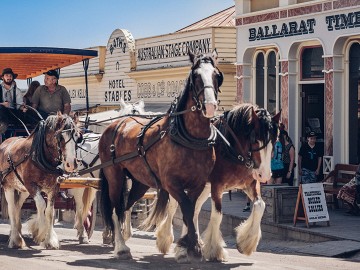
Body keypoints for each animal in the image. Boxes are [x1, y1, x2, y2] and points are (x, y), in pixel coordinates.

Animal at [0, 112, 81, 249]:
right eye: (60, 136)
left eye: (77, 135)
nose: (71, 164)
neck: (40, 156)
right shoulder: (31, 185)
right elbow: (42, 205)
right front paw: (41, 233)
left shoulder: (53, 187)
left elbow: (49, 211)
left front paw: (50, 240)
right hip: (8, 186)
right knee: (11, 208)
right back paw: (15, 239)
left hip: (23, 189)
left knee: (17, 207)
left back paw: (17, 233)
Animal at [98, 49, 222, 262]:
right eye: (196, 76)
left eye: (216, 75)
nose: (210, 106)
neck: (189, 138)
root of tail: (114, 124)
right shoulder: (172, 184)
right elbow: (187, 209)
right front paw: (190, 246)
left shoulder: (197, 184)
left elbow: (191, 212)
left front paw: (187, 245)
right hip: (114, 176)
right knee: (115, 208)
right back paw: (121, 247)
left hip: (140, 182)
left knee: (126, 206)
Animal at [143, 103, 282, 260]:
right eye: (254, 139)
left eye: (274, 140)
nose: (264, 174)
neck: (231, 149)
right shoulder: (217, 186)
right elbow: (217, 215)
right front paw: (214, 249)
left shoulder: (250, 184)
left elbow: (260, 205)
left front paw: (245, 243)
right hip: (181, 185)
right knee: (174, 207)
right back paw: (167, 240)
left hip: (203, 187)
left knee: (194, 210)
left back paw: (189, 243)